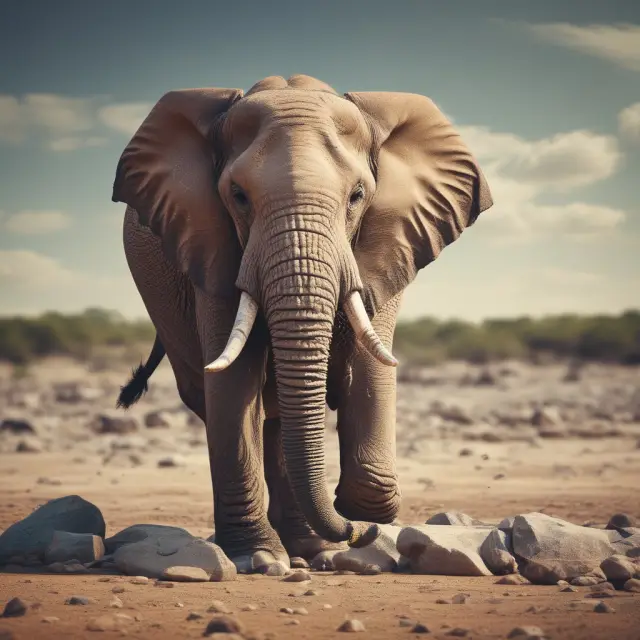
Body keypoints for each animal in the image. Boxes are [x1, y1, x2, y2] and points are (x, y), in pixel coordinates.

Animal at [112, 74, 493, 572]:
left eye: (357, 196)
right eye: (238, 196)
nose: (358, 533)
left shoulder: (389, 240)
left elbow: (370, 368)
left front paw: (363, 516)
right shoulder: (210, 245)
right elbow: (233, 382)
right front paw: (258, 558)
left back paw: (316, 551)